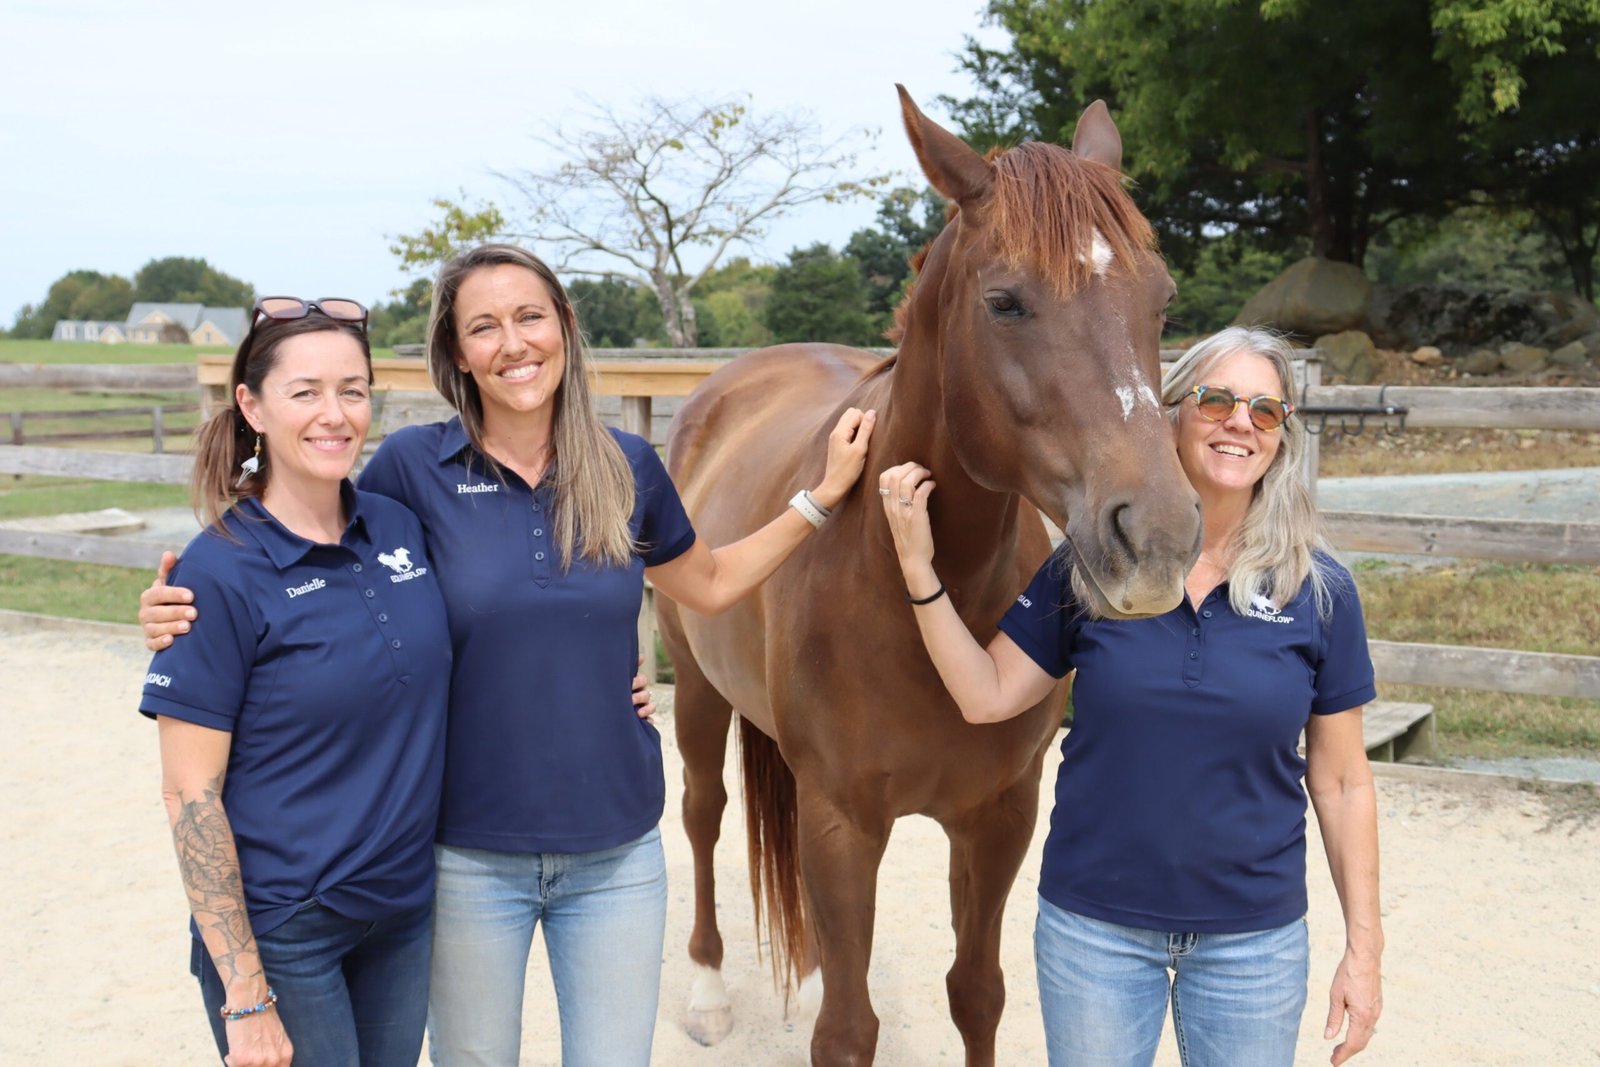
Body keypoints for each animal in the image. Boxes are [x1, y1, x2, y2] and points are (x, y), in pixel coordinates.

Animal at [656, 86, 1203, 1066]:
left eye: (1162, 300)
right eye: (1005, 301)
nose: (1161, 539)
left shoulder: (998, 816)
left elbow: (976, 993)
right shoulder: (842, 825)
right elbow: (847, 1029)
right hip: (696, 690)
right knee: (705, 812)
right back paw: (710, 992)